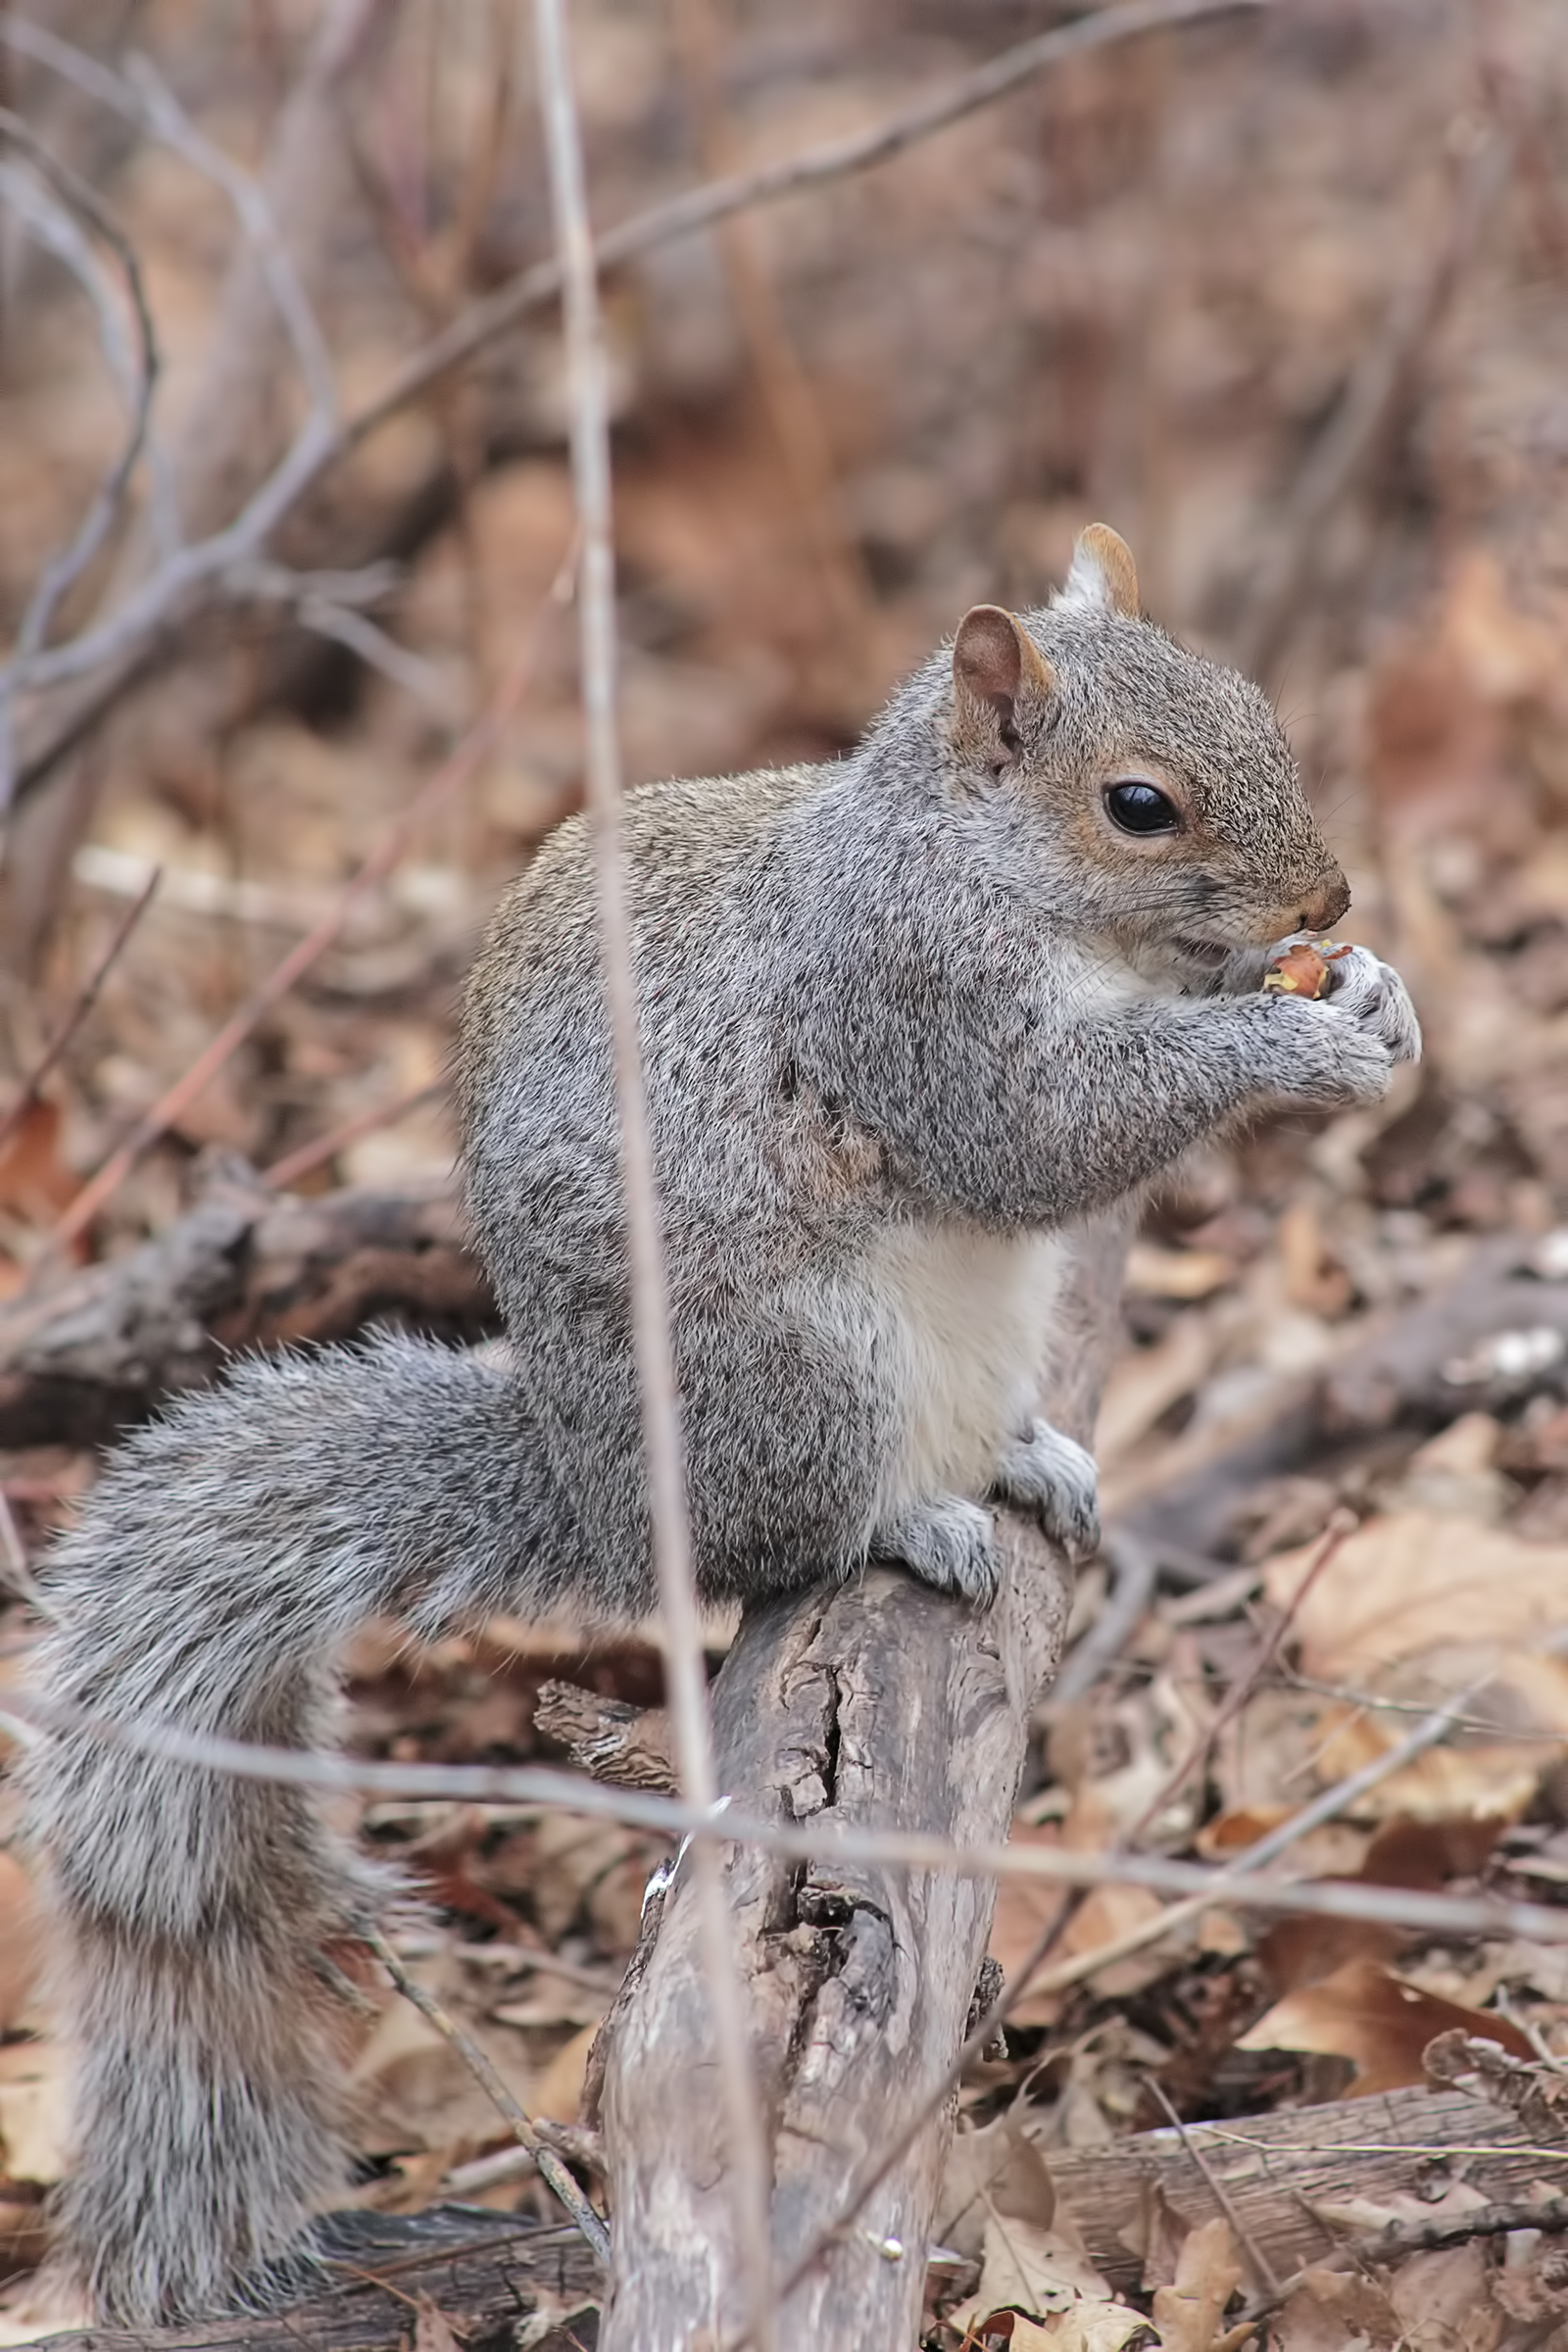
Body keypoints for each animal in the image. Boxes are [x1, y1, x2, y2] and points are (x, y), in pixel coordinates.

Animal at [21, 524, 1419, 2324]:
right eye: (1139, 806)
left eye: (1259, 709)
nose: (1326, 906)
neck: (975, 864)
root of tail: (608, 1495)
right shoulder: (910, 1003)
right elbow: (1040, 1136)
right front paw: (1287, 1038)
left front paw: (1371, 996)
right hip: (800, 1377)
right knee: (796, 1540)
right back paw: (913, 1519)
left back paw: (1020, 1458)